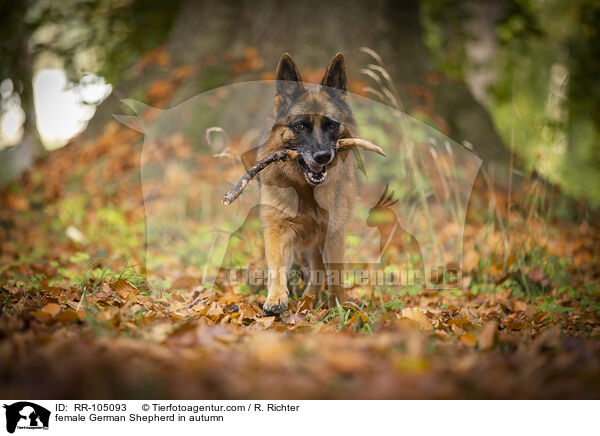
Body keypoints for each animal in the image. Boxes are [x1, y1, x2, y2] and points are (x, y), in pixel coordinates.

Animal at [256, 52, 356, 316]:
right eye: (300, 126)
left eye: (331, 124)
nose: (323, 156)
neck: (307, 191)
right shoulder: (277, 229)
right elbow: (277, 266)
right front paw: (276, 298)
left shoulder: (334, 232)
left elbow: (334, 273)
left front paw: (339, 307)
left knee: (319, 270)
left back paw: (311, 299)